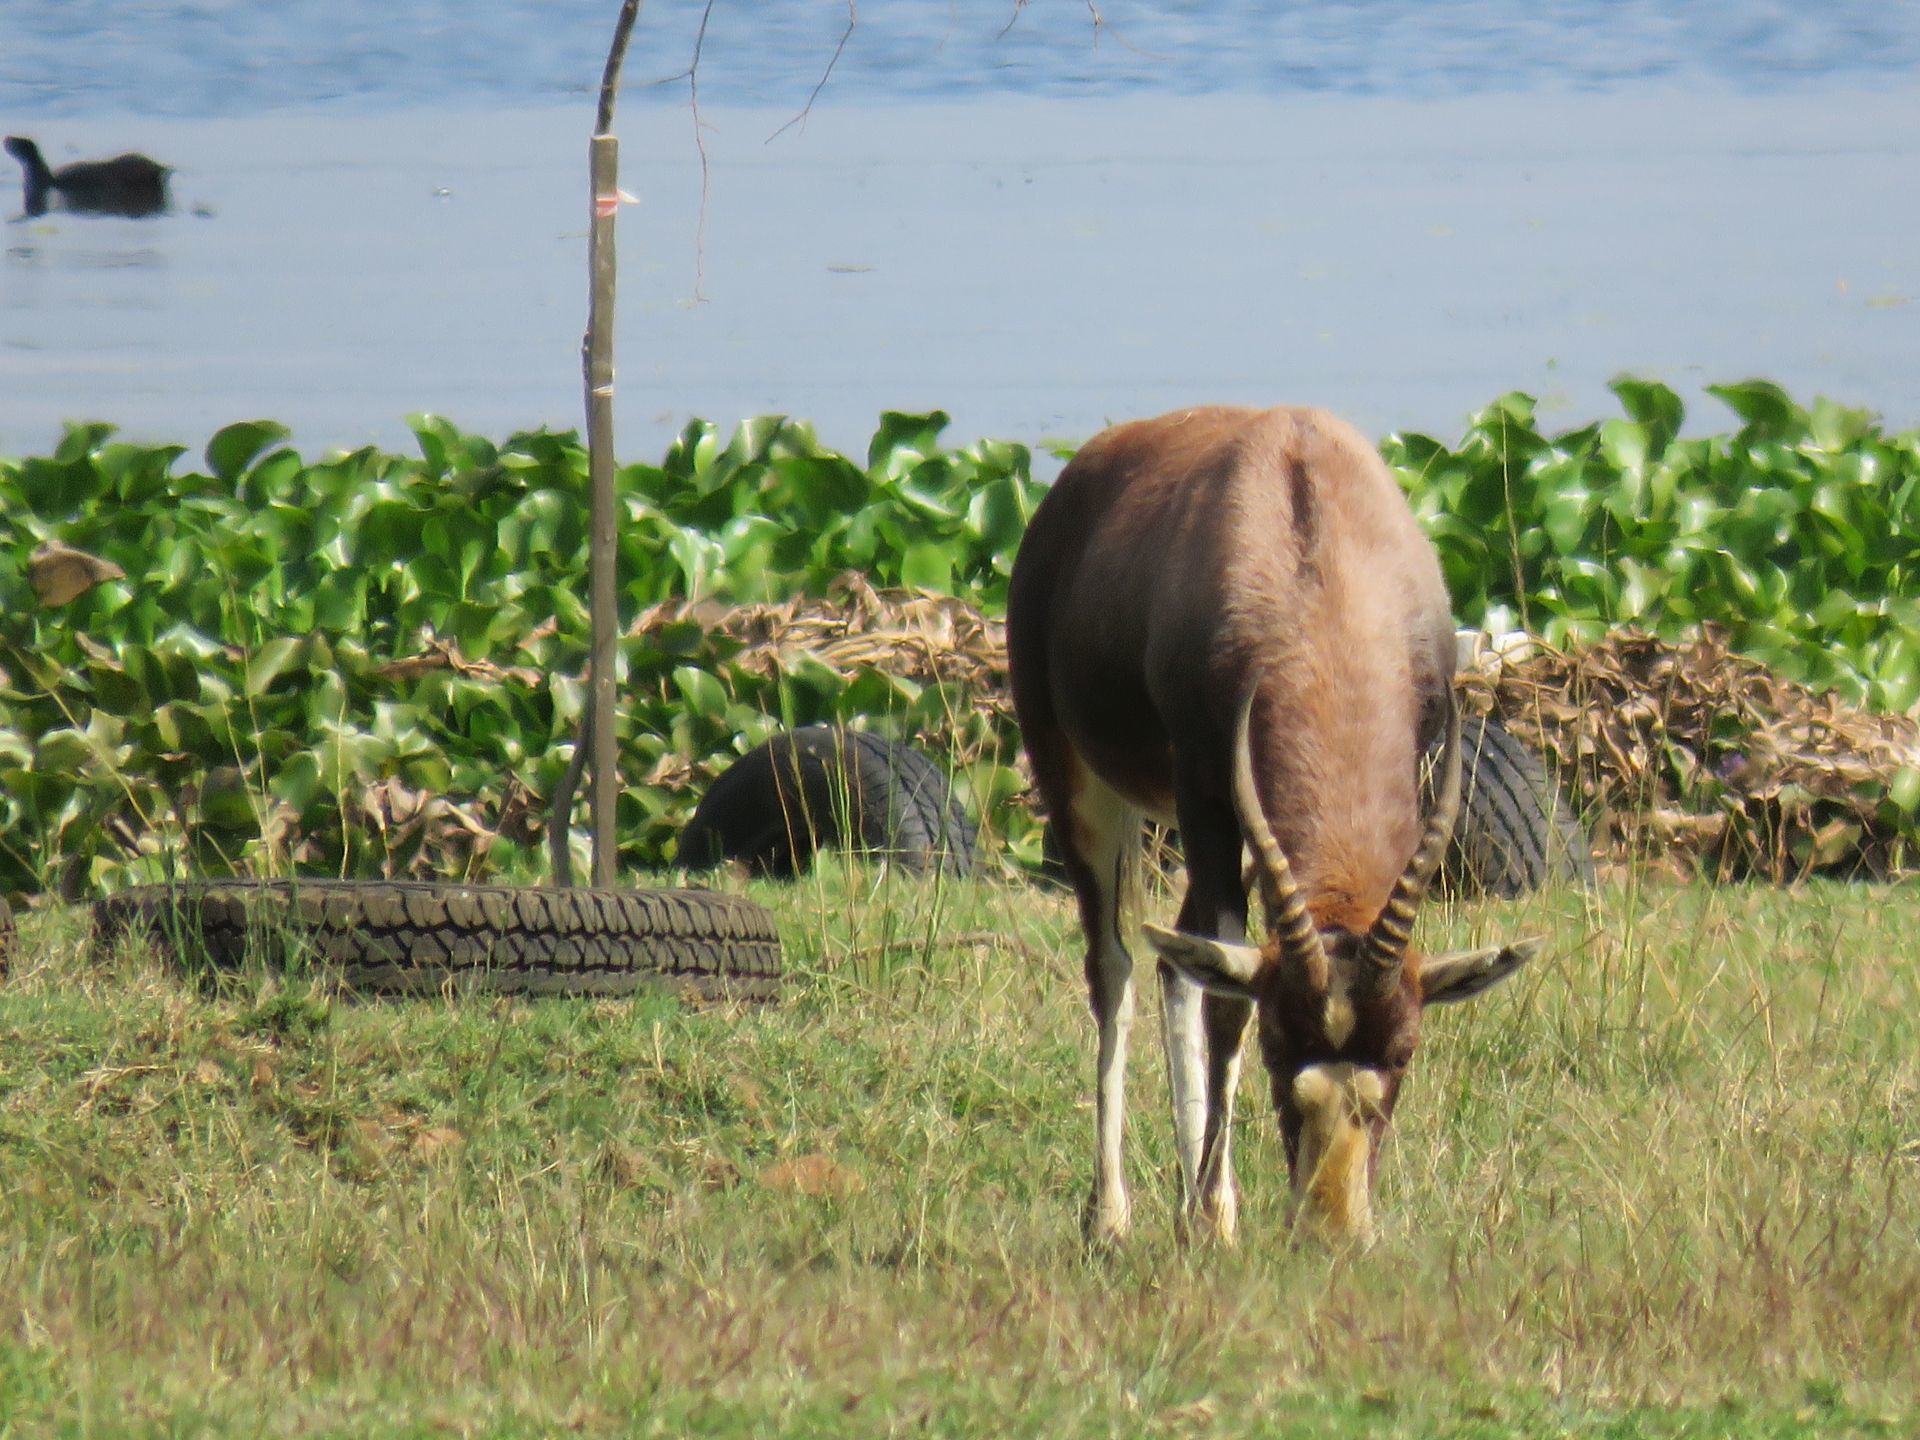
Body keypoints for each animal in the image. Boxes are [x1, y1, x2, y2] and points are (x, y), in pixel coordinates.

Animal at [1013, 407, 1536, 1251]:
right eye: (1279, 1043)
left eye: (1403, 1050)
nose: (1331, 1229)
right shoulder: (1206, 792)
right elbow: (1224, 1003)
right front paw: (1210, 1224)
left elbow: (1214, 973)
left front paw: (1208, 1211)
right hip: (1081, 781)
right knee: (1115, 966)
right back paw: (1115, 1218)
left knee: (1179, 961)